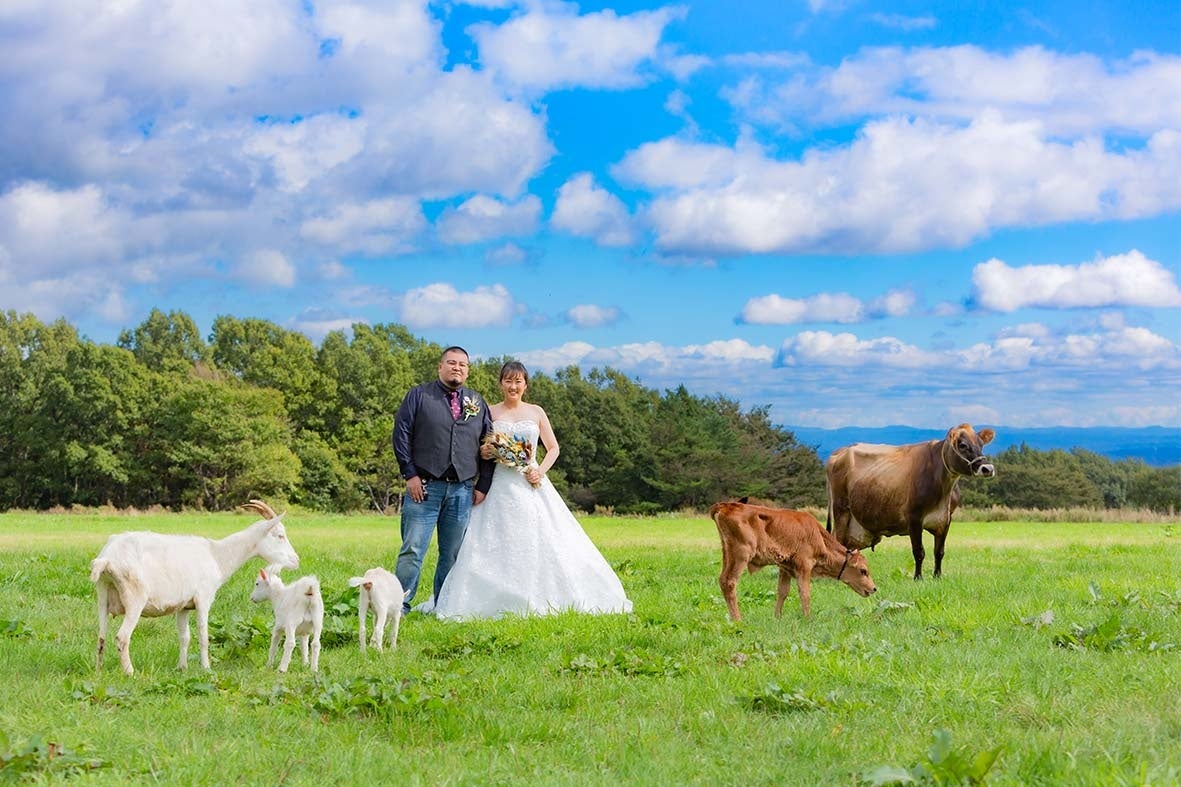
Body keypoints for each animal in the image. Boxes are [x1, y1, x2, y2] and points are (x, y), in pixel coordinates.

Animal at [91, 498, 299, 671]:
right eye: (280, 535)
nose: (296, 560)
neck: (217, 555)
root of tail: (107, 558)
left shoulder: (183, 605)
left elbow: (185, 637)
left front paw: (182, 668)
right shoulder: (203, 599)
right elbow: (203, 635)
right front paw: (206, 668)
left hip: (102, 594)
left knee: (101, 636)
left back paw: (98, 671)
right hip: (135, 597)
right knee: (122, 637)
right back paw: (130, 672)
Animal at [708, 498, 878, 623]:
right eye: (863, 571)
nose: (874, 588)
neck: (818, 536)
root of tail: (725, 505)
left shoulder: (785, 567)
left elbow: (782, 592)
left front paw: (777, 617)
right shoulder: (804, 565)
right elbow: (805, 593)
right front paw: (808, 618)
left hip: (727, 553)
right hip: (740, 554)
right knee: (729, 582)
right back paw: (738, 620)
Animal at [826, 423, 1001, 576]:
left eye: (981, 444)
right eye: (963, 445)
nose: (987, 468)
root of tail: (840, 451)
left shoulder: (946, 519)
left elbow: (939, 551)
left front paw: (937, 576)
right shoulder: (914, 517)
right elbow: (919, 552)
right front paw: (918, 578)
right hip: (841, 510)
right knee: (837, 541)